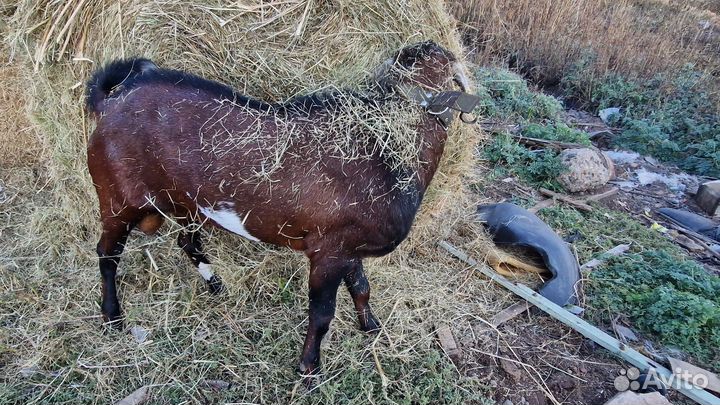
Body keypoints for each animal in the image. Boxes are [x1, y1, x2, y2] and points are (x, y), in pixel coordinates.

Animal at [85, 41, 477, 379]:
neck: (386, 147)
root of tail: (112, 101)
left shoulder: (349, 246)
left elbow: (362, 288)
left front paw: (371, 327)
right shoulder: (328, 252)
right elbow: (322, 314)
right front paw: (309, 369)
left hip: (186, 201)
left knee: (187, 241)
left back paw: (215, 285)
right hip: (118, 198)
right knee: (107, 252)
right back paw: (113, 316)